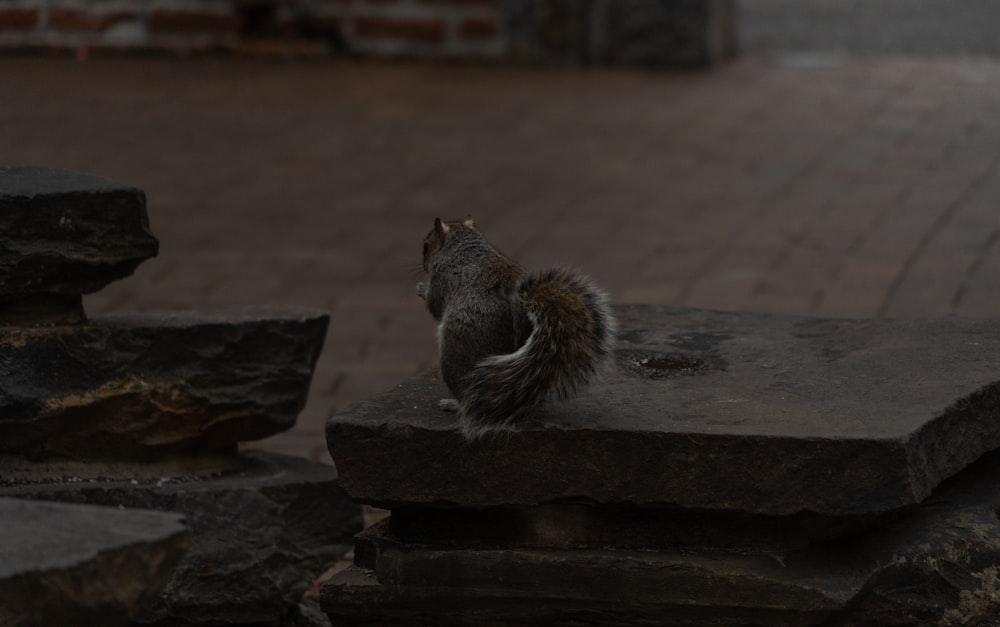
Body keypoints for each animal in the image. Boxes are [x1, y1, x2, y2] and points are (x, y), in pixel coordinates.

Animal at [416, 217, 616, 442]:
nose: (423, 265)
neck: (464, 248)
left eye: (426, 246)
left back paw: (454, 404)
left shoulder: (442, 279)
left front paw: (421, 289)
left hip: (454, 352)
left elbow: (434, 305)